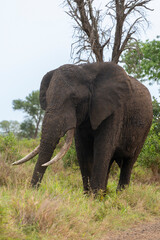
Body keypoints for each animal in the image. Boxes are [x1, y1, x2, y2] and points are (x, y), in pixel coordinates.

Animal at [12, 61, 152, 193]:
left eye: (75, 99)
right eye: (47, 97)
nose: (33, 191)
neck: (86, 70)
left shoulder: (115, 111)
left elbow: (103, 148)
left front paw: (95, 198)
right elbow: (82, 151)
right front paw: (89, 196)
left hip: (145, 129)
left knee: (128, 163)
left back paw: (119, 195)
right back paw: (105, 193)